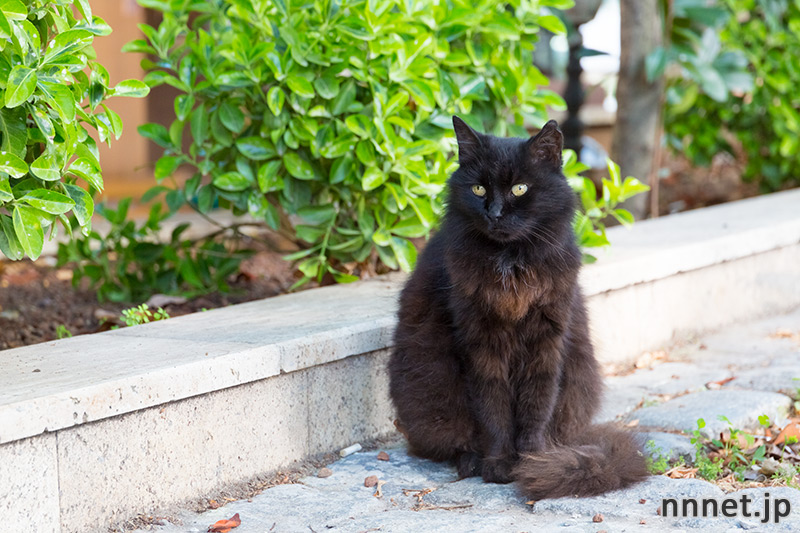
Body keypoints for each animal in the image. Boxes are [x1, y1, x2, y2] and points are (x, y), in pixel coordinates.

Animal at [390, 116, 648, 498]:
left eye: (520, 189)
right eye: (478, 189)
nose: (495, 213)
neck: (511, 261)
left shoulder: (547, 339)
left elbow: (536, 406)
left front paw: (533, 461)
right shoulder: (481, 343)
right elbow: (493, 410)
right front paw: (499, 464)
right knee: (454, 441)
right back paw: (471, 462)